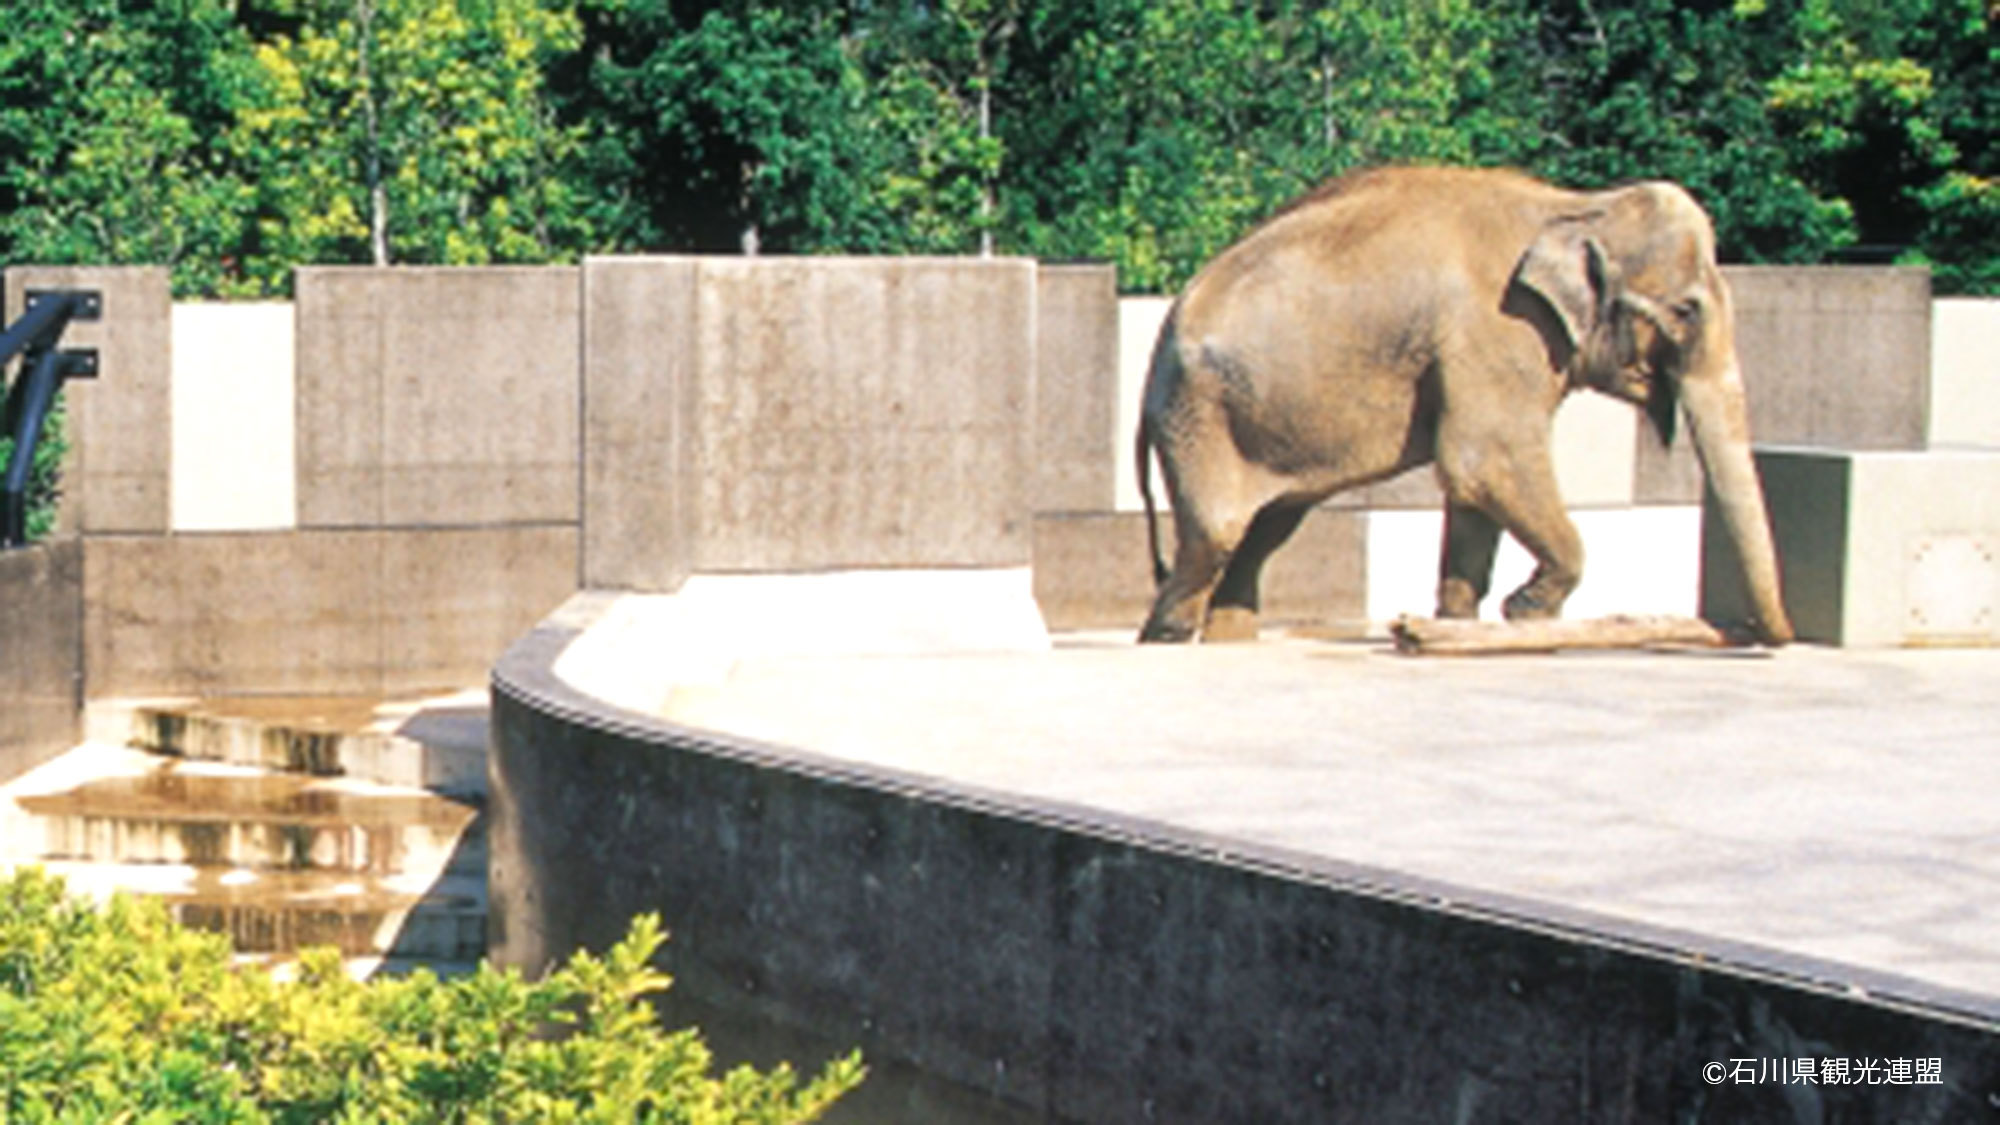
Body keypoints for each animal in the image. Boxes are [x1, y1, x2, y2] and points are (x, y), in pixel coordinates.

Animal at [1144, 162, 1800, 644]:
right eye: (1686, 310)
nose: (1744, 632)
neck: (1576, 206)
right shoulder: (1500, 331)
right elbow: (1484, 460)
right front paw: (1526, 612)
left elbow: (1473, 491)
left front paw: (1458, 623)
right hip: (1201, 414)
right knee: (1216, 537)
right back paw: (1169, 638)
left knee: (1265, 531)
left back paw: (1229, 639)